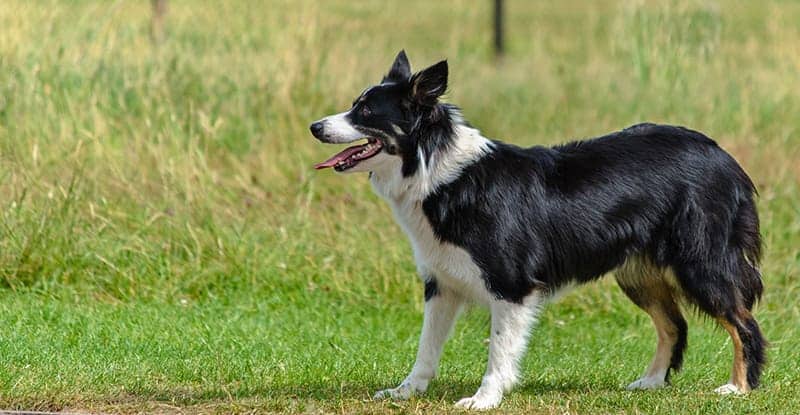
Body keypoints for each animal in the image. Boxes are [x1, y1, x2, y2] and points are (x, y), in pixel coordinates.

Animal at [310, 51, 764, 410]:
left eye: (366, 113)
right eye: (354, 106)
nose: (315, 126)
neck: (435, 170)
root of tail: (723, 155)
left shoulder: (511, 285)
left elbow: (499, 350)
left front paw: (484, 399)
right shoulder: (441, 283)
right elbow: (426, 348)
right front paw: (407, 391)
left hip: (699, 263)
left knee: (744, 323)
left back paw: (738, 388)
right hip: (638, 272)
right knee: (674, 325)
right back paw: (650, 383)